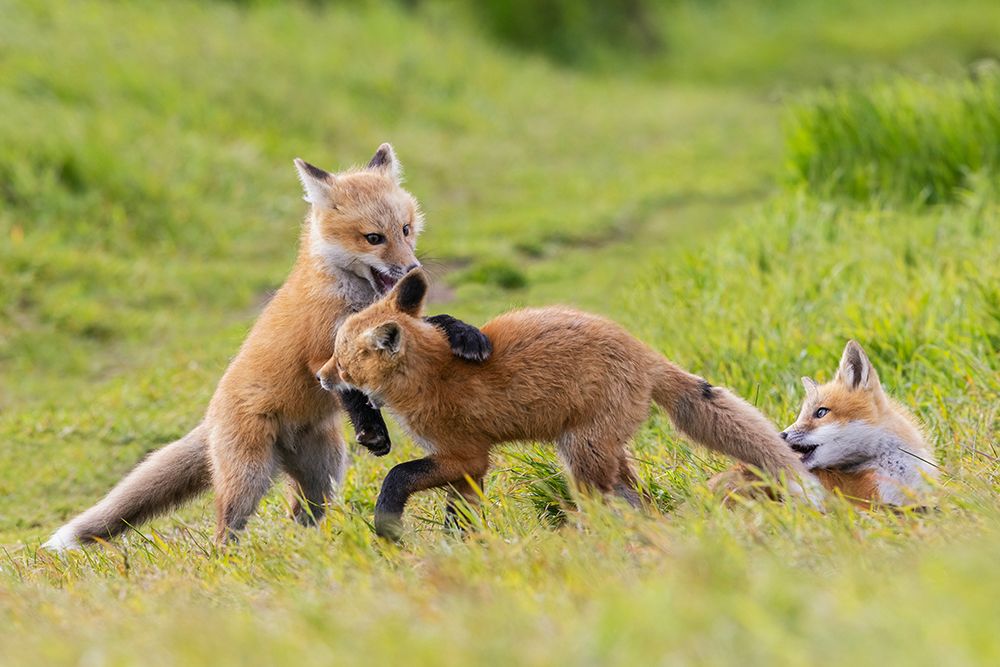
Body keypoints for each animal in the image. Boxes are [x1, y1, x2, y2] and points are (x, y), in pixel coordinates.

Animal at [43, 144, 489, 551]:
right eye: (373, 238)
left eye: (406, 229)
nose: (414, 269)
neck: (351, 296)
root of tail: (211, 417)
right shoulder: (324, 351)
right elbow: (349, 389)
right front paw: (373, 432)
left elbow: (438, 322)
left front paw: (468, 336)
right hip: (249, 478)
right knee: (226, 528)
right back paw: (229, 562)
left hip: (323, 472)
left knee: (301, 516)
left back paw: (308, 552)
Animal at [318, 269, 822, 541]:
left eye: (341, 359)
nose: (321, 376)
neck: (431, 374)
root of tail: (643, 352)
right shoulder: (466, 467)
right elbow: (459, 520)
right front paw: (463, 553)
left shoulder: (463, 454)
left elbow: (396, 476)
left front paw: (388, 528)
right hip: (600, 456)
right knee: (640, 502)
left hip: (582, 455)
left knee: (602, 506)